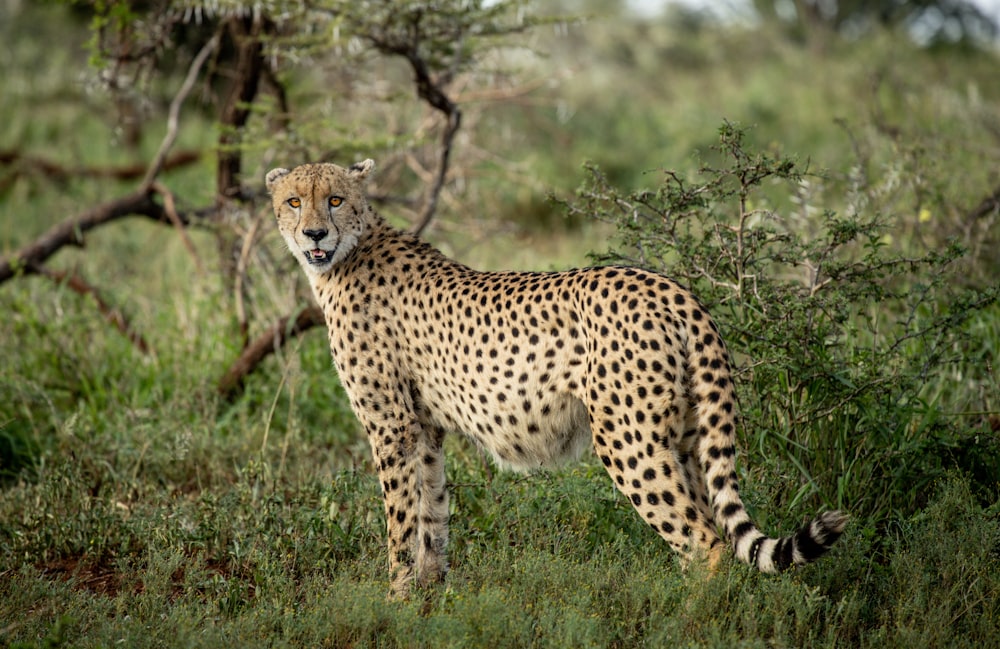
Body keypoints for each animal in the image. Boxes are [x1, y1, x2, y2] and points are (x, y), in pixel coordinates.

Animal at [264, 159, 844, 596]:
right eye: (294, 201)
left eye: (335, 199)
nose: (314, 232)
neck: (349, 252)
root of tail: (671, 287)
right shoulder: (424, 429)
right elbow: (432, 519)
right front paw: (428, 599)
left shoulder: (393, 427)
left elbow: (401, 524)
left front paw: (395, 601)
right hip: (682, 436)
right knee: (706, 523)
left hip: (628, 438)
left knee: (705, 541)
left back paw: (685, 617)